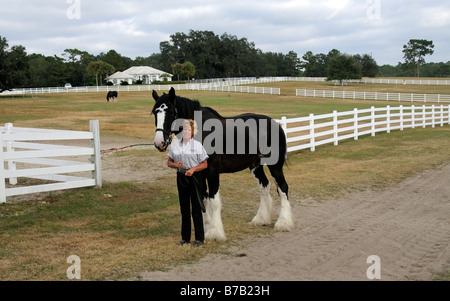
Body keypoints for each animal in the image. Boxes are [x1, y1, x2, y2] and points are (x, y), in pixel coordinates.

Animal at [151, 86, 292, 239]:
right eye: (154, 112)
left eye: (170, 112)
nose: (159, 143)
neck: (202, 131)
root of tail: (275, 124)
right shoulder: (199, 172)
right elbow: (204, 198)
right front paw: (206, 227)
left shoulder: (212, 171)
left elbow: (213, 200)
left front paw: (214, 233)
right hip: (255, 166)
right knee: (264, 186)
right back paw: (261, 219)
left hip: (275, 165)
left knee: (283, 188)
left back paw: (283, 223)